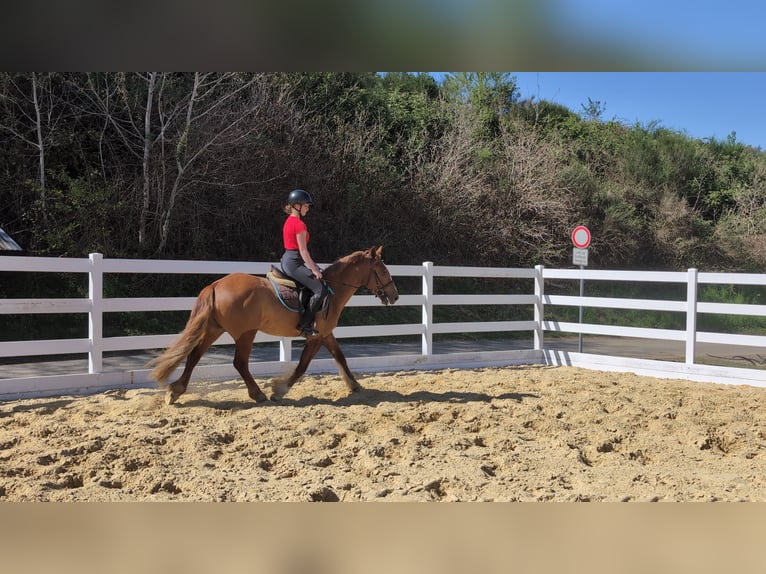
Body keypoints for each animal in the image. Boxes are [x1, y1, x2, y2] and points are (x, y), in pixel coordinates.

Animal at [147, 246, 399, 405]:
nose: (395, 296)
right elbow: (302, 367)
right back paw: (257, 394)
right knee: (239, 363)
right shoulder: (315, 337)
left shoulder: (325, 334)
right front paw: (279, 390)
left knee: (194, 356)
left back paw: (175, 391)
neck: (332, 289)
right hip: (245, 333)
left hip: (214, 329)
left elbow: (341, 357)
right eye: (383, 270)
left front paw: (354, 385)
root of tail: (216, 285)